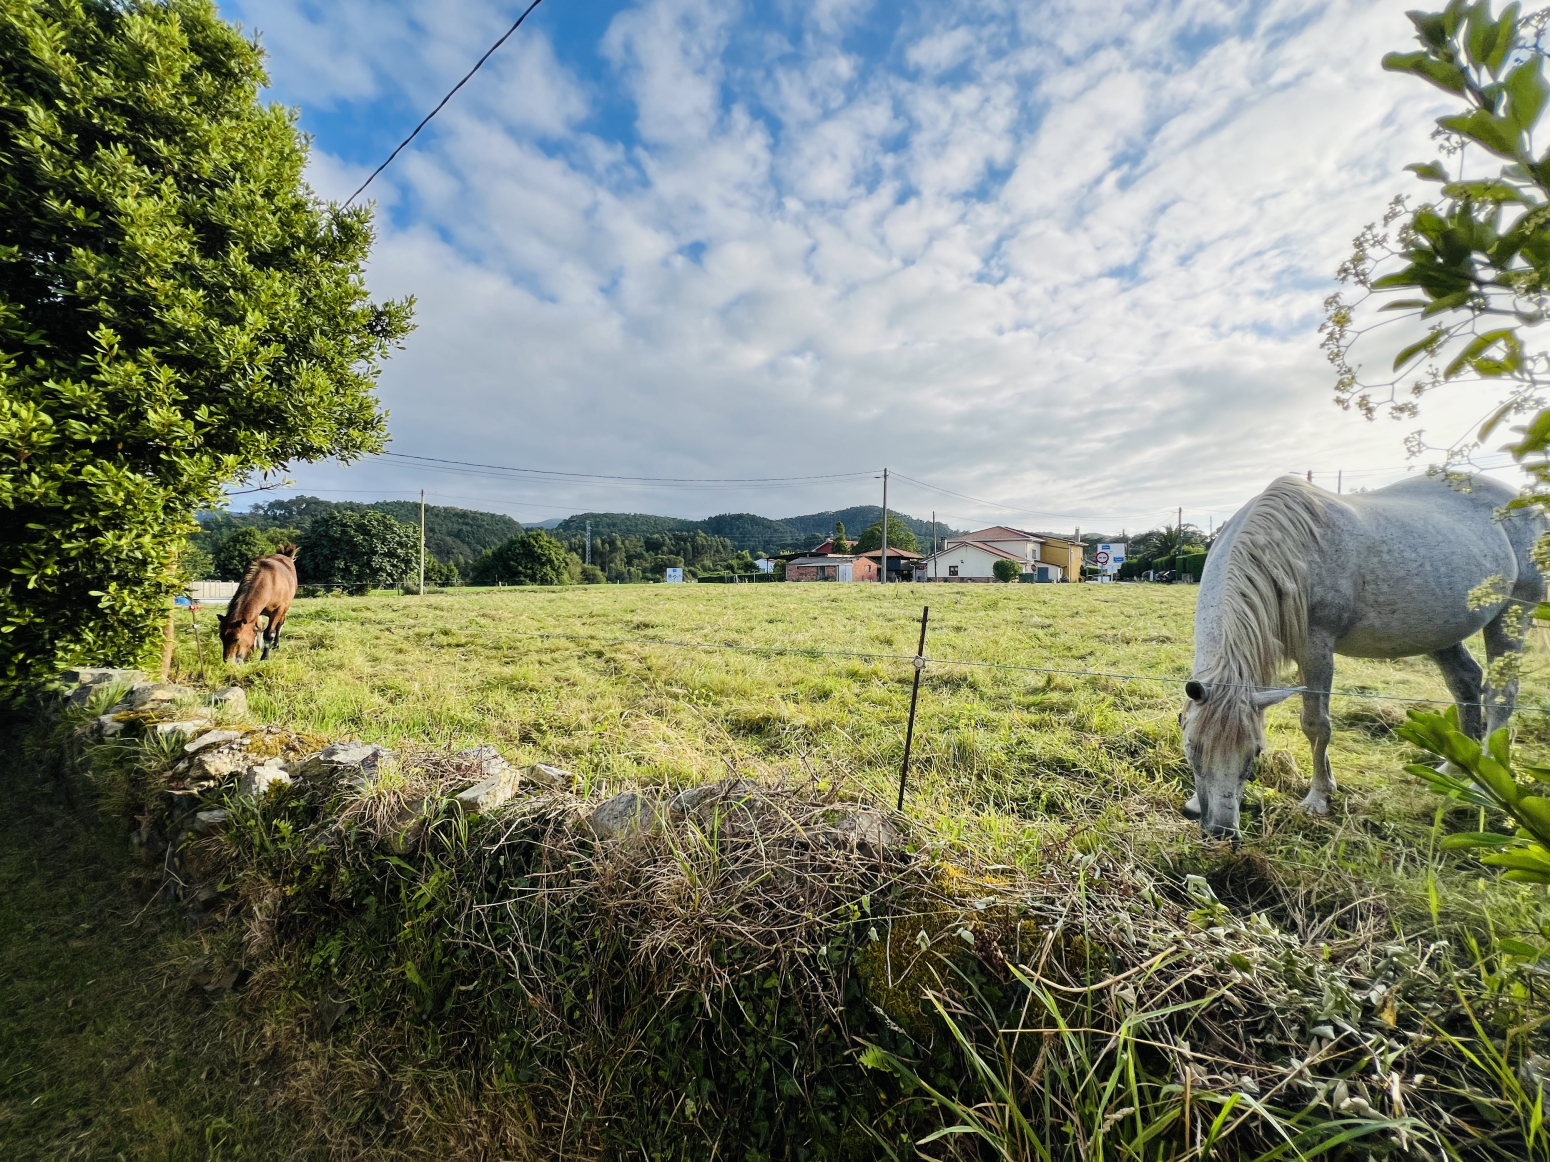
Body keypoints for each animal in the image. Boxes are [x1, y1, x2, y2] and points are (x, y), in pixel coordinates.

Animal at [1178, 474, 1543, 836]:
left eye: (1255, 752)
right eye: (1192, 748)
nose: (1222, 831)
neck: (1284, 552)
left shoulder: (1316, 649)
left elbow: (1316, 724)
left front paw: (1318, 796)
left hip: (1512, 615)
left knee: (1500, 696)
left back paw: (1484, 786)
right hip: (1442, 631)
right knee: (1465, 681)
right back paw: (1456, 769)